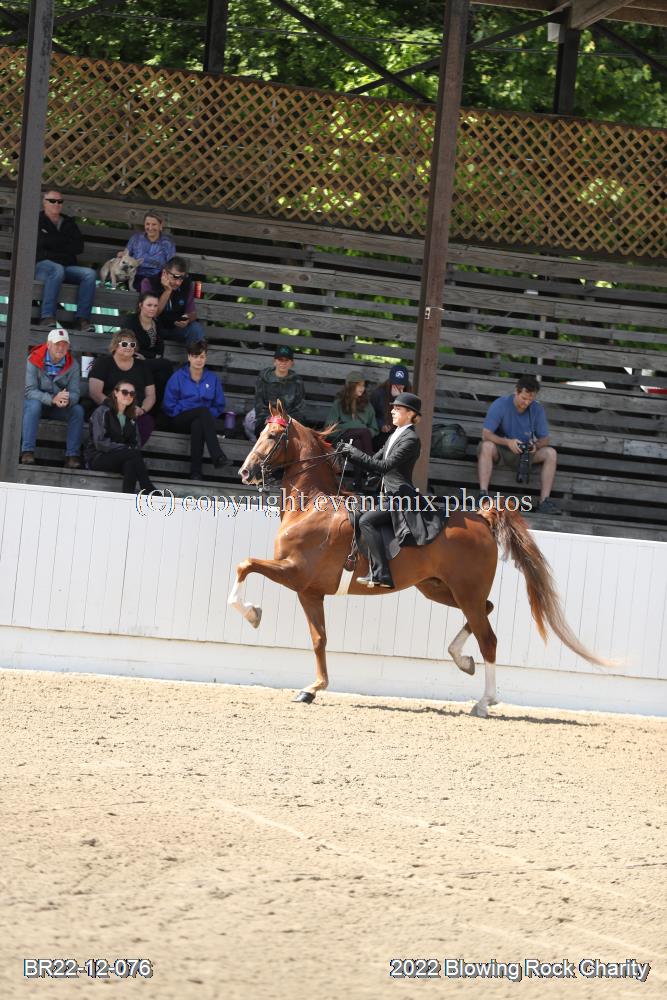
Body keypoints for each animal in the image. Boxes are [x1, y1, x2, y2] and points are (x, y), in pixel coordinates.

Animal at [229, 402, 609, 717]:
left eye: (273, 436)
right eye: (260, 432)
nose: (245, 473)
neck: (311, 506)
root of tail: (482, 519)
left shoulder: (296, 573)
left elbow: (244, 564)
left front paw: (252, 614)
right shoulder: (310, 591)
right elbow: (319, 639)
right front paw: (313, 688)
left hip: (464, 591)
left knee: (489, 638)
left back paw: (484, 702)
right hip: (439, 589)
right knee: (485, 614)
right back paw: (463, 661)